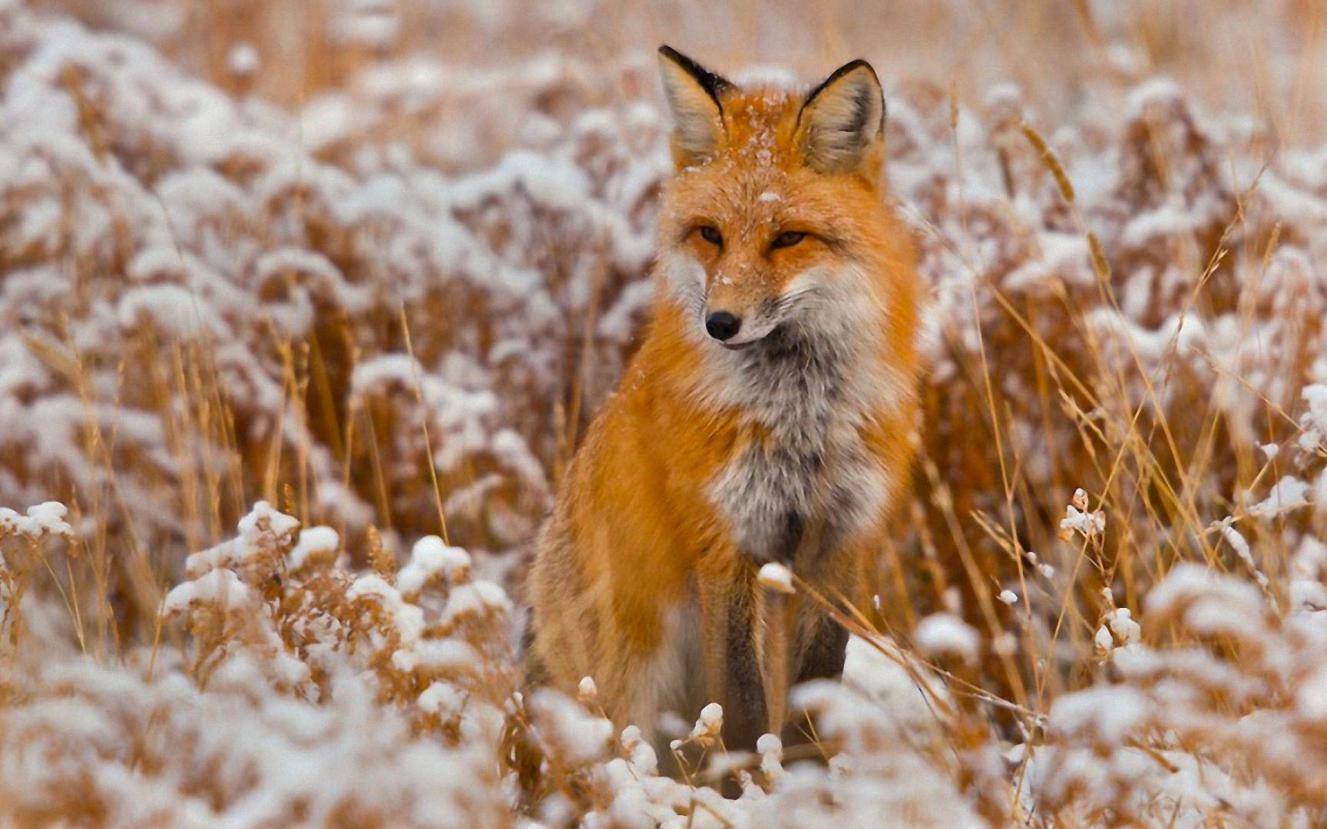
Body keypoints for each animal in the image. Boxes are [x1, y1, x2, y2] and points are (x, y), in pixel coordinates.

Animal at [522, 43, 918, 742]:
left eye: (788, 237)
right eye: (710, 234)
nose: (720, 323)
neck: (799, 415)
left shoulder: (842, 538)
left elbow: (816, 687)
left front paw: (805, 770)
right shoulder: (724, 538)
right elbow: (739, 701)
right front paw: (750, 771)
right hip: (630, 680)